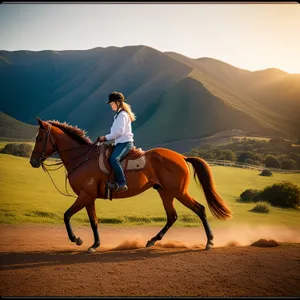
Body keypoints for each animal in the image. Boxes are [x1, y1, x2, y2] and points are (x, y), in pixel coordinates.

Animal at [30, 118, 232, 253]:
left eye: (39, 139)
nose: (33, 162)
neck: (82, 158)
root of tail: (181, 157)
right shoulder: (89, 197)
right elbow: (93, 221)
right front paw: (94, 244)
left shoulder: (85, 195)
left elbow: (66, 216)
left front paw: (77, 239)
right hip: (166, 192)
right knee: (172, 216)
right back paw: (152, 240)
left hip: (178, 192)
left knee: (200, 209)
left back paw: (209, 242)